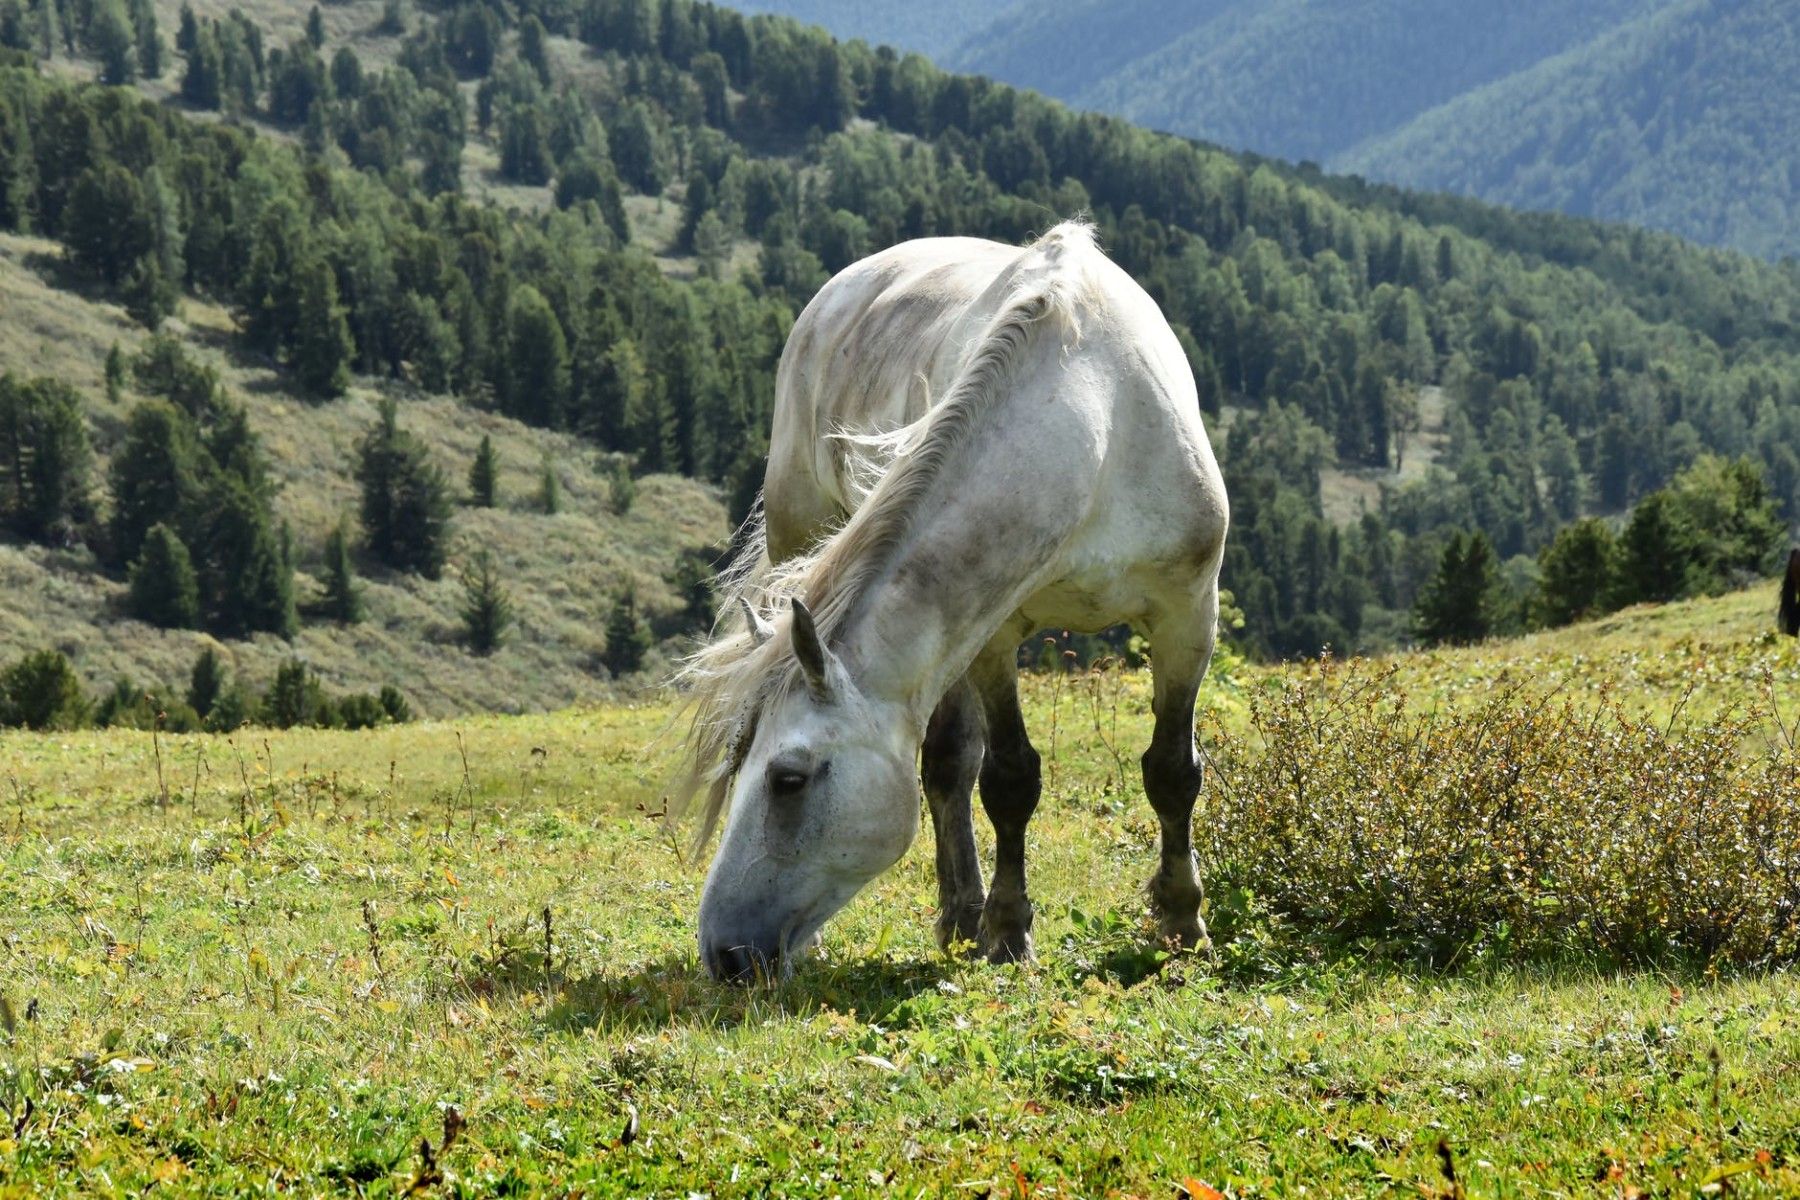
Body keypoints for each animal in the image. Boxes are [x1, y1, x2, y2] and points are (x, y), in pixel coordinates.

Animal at [680, 220, 1231, 978]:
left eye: (788, 779)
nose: (725, 952)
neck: (1097, 419)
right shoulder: (992, 635)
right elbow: (1007, 778)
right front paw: (1008, 931)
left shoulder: (1187, 614)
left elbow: (1173, 770)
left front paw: (1181, 923)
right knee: (950, 764)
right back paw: (960, 918)